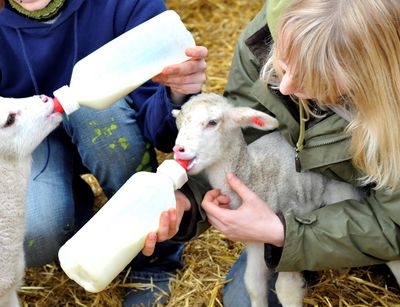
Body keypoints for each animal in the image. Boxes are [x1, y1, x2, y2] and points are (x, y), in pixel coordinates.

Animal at [172, 94, 400, 307]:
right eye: (179, 123)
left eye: (212, 122)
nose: (178, 150)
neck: (255, 174)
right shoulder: (255, 239)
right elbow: (252, 284)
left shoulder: (287, 232)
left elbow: (286, 289)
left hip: (345, 195)